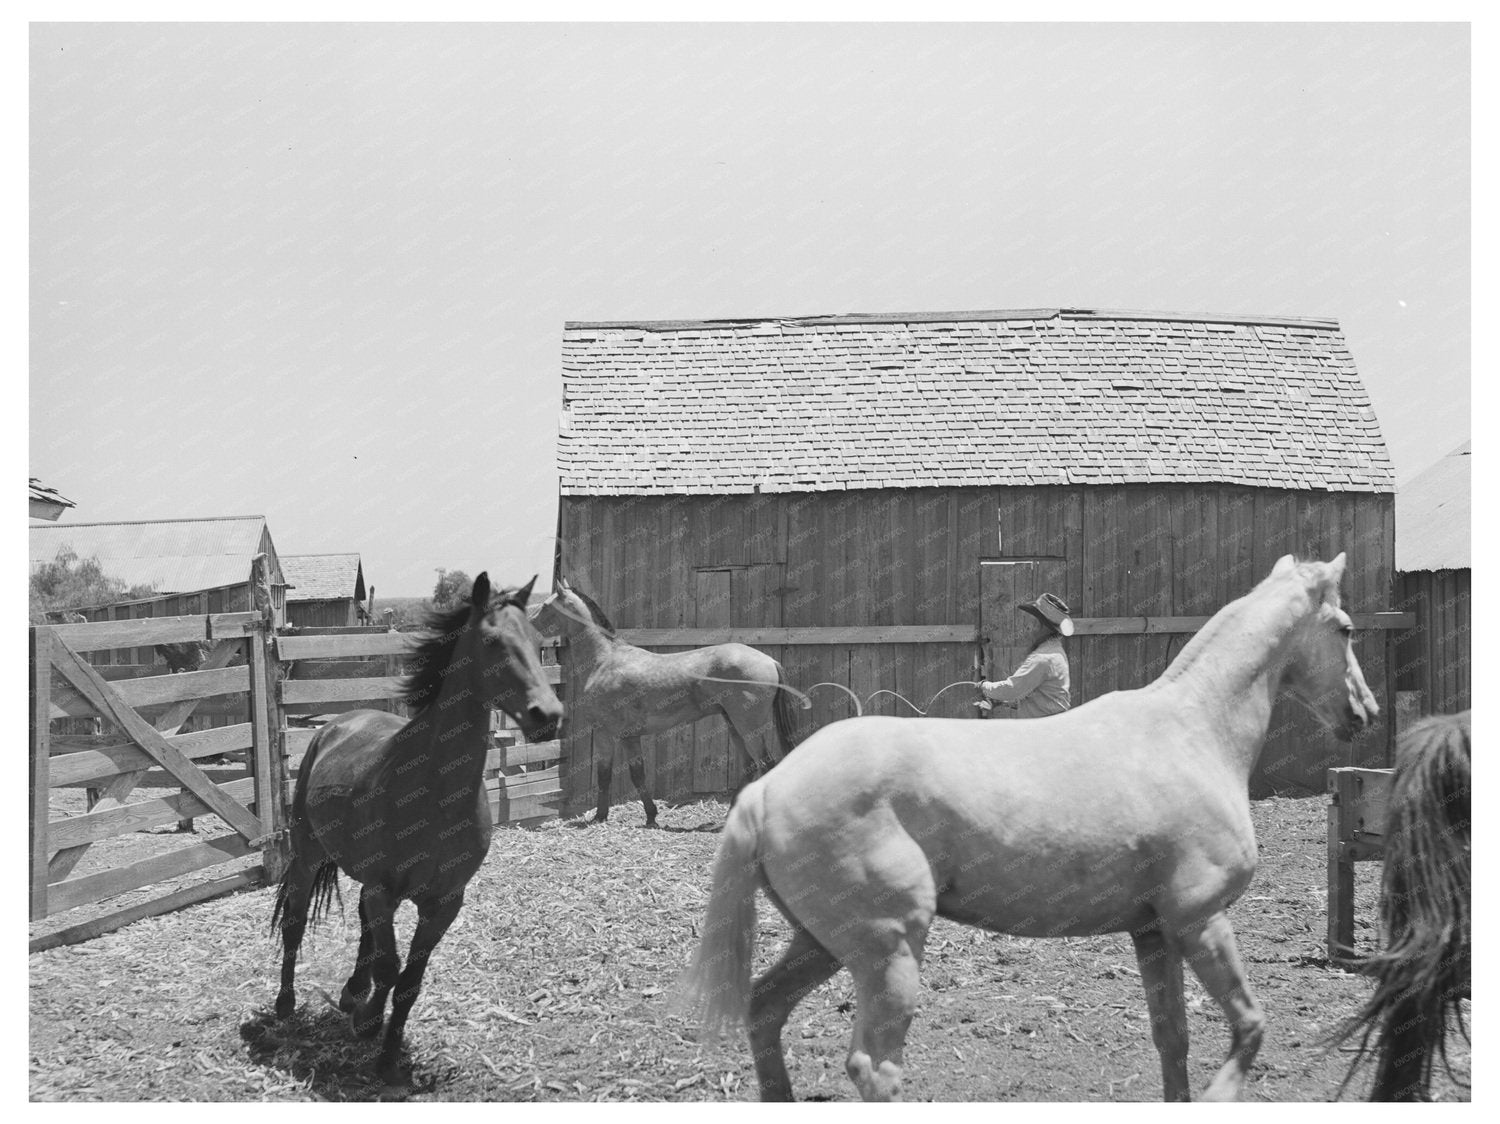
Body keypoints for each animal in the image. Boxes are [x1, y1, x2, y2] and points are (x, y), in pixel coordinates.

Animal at [270, 573, 564, 1083]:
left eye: (538, 641)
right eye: (492, 642)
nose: (547, 715)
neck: (434, 792)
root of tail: (335, 725)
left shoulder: (442, 903)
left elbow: (409, 980)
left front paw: (388, 1054)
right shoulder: (386, 891)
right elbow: (390, 971)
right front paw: (369, 1022)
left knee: (363, 927)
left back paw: (352, 991)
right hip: (309, 859)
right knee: (295, 922)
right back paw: (287, 1003)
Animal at [532, 577, 798, 827]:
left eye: (546, 605)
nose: (531, 623)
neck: (605, 660)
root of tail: (769, 661)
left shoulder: (607, 733)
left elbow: (611, 775)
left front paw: (604, 816)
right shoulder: (629, 736)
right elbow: (631, 775)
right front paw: (646, 816)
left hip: (748, 725)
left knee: (766, 764)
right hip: (733, 724)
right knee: (750, 766)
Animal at [675, 553, 1377, 1102]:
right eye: (1344, 628)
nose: (1364, 712)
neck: (1192, 732)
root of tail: (768, 789)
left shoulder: (1153, 932)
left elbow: (1171, 1041)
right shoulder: (1198, 919)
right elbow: (1249, 1026)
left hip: (818, 944)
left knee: (764, 1011)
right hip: (888, 952)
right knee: (874, 1069)